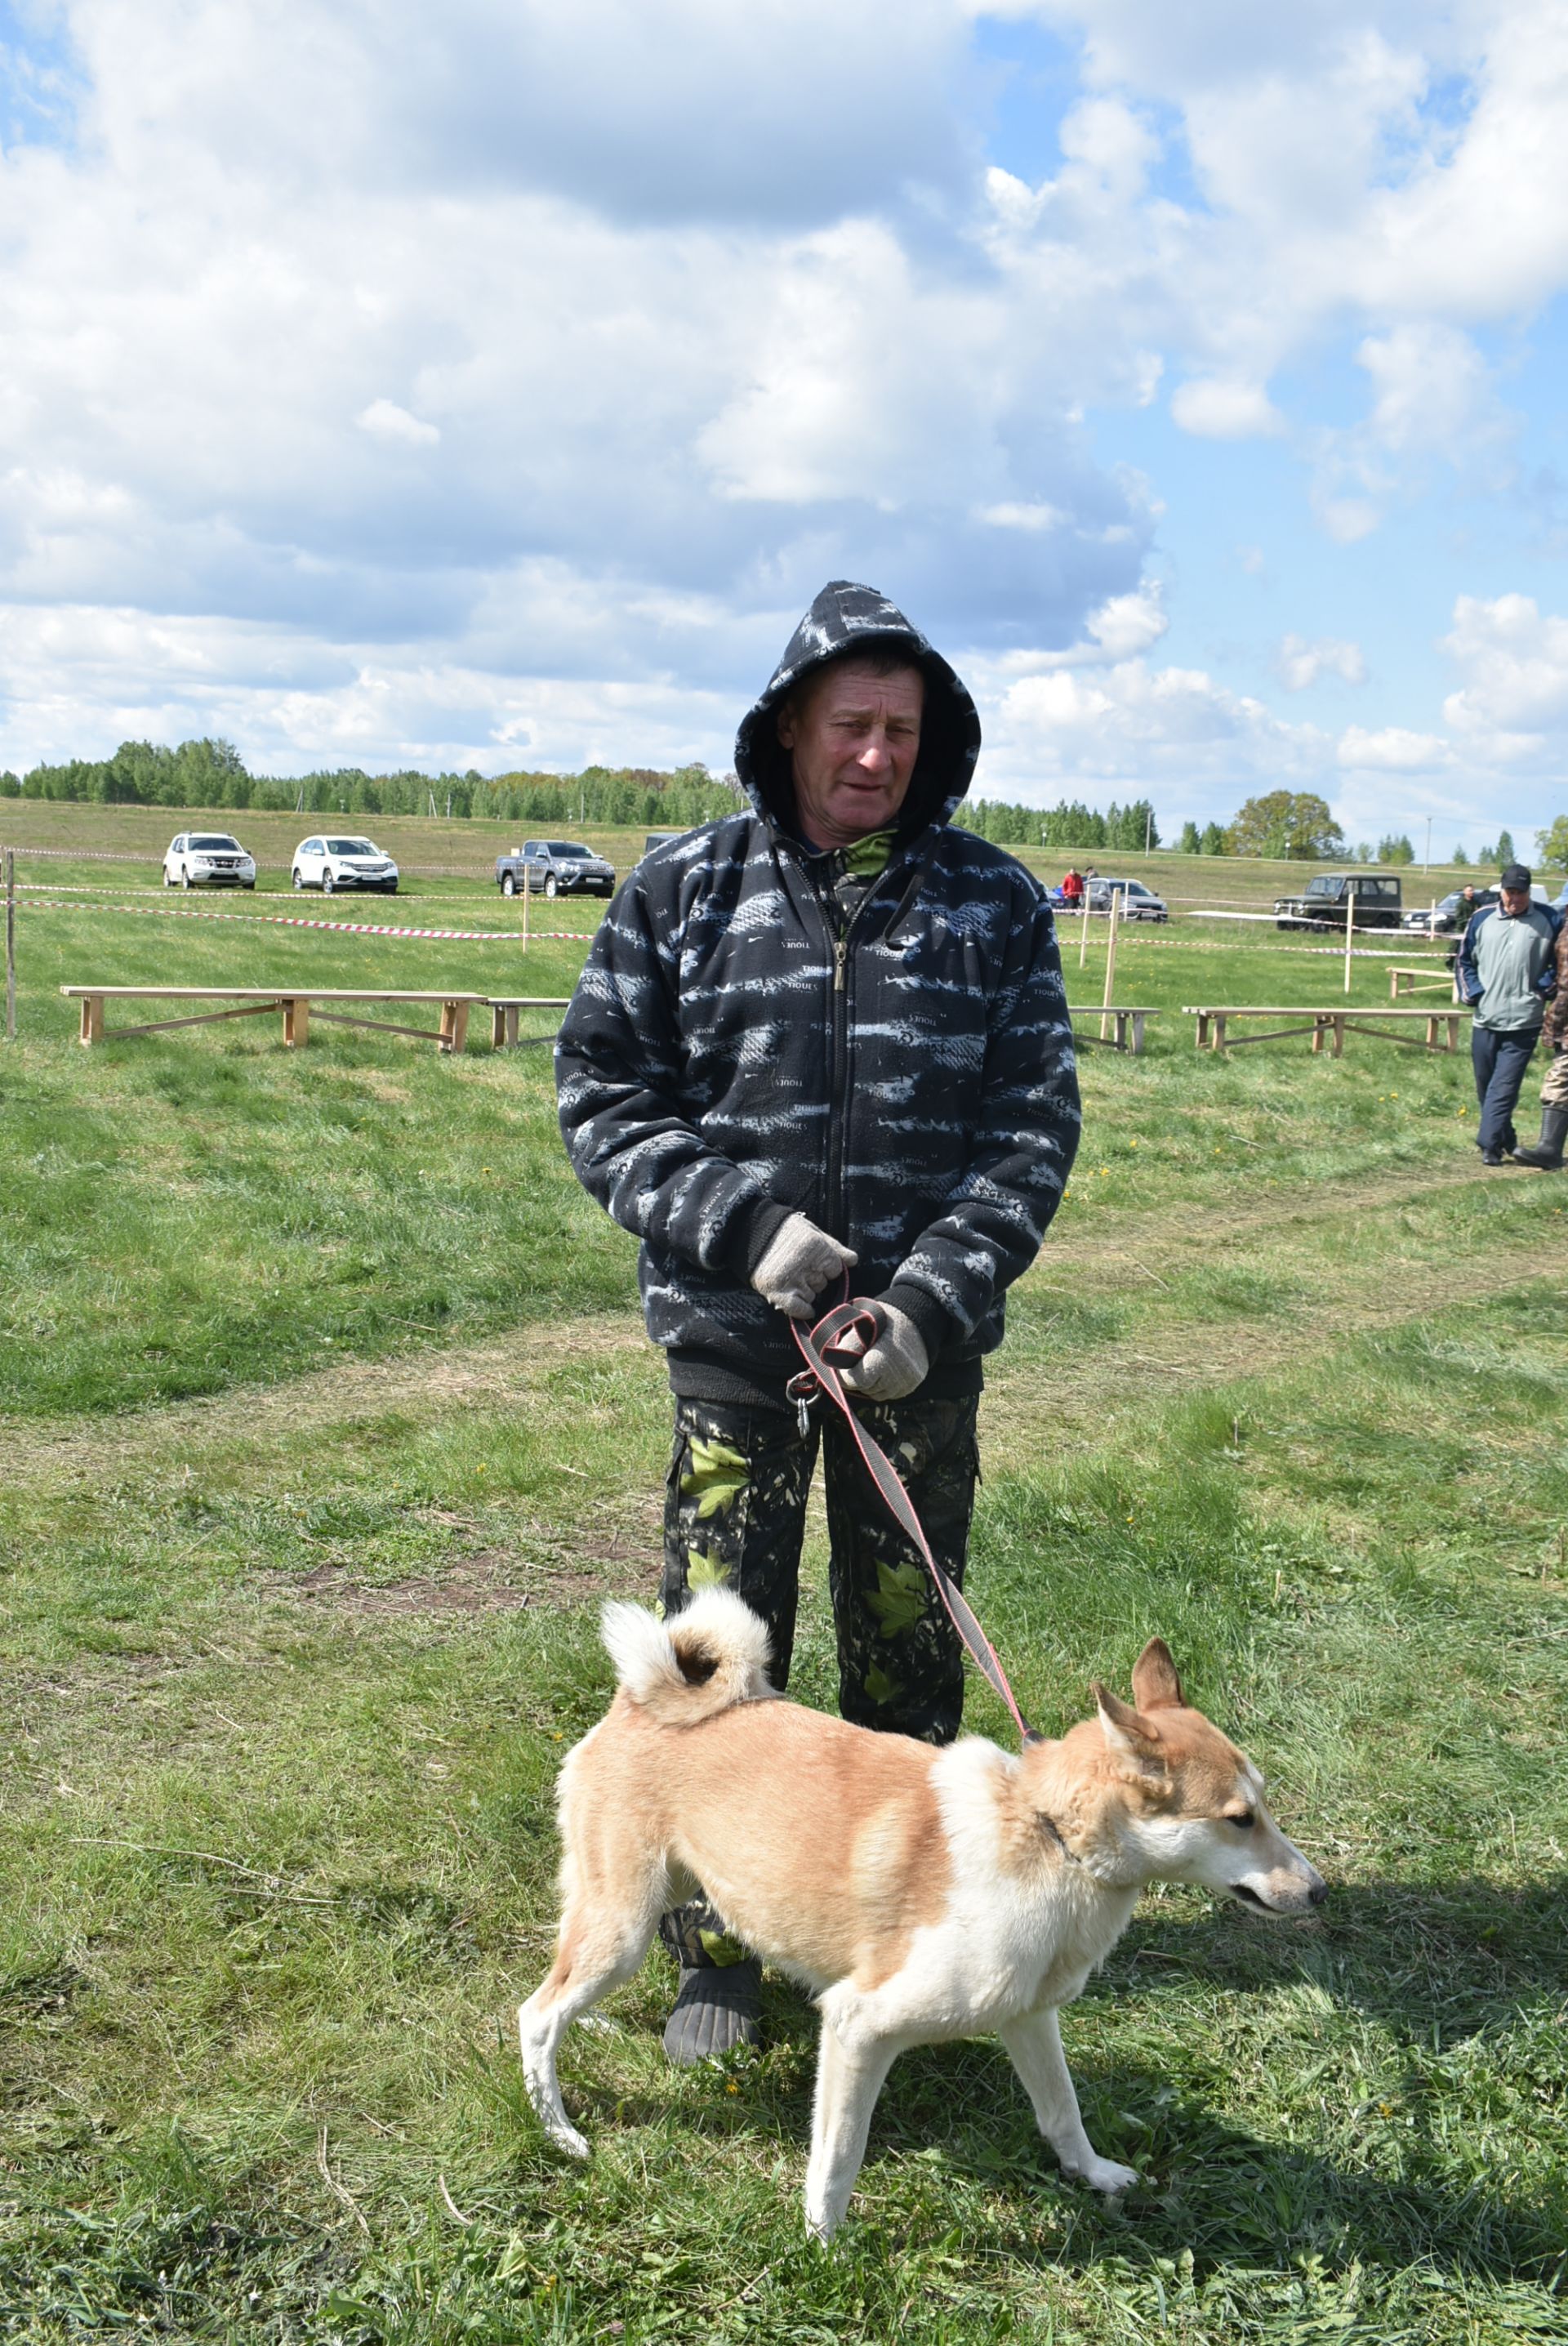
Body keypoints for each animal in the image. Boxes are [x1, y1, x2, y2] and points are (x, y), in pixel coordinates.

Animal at [515, 1594, 1321, 2233]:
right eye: (1240, 1819)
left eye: (1264, 1805)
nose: (1318, 1892)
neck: (1049, 1837)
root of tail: (639, 1696)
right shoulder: (857, 2026)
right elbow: (838, 2158)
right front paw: (823, 2247)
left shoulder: (1029, 2017)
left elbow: (1062, 2110)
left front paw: (1093, 2174)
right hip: (626, 1922)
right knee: (536, 2014)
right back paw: (558, 2131)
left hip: (627, 1912)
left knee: (561, 1983)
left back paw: (593, 2022)